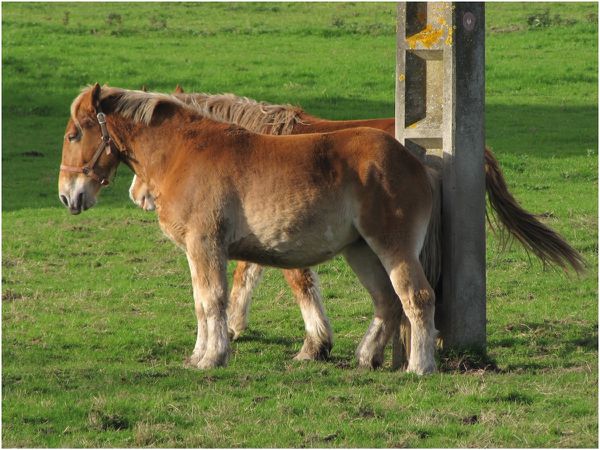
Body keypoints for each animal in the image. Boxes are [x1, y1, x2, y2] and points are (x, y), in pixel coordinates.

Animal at [57, 84, 440, 372]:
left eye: (74, 134)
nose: (67, 195)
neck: (183, 152)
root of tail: (415, 162)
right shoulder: (198, 252)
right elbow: (201, 303)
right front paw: (198, 355)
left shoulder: (206, 245)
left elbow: (214, 300)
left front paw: (213, 357)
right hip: (360, 250)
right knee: (386, 301)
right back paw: (366, 357)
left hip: (392, 247)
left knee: (416, 296)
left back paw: (419, 366)